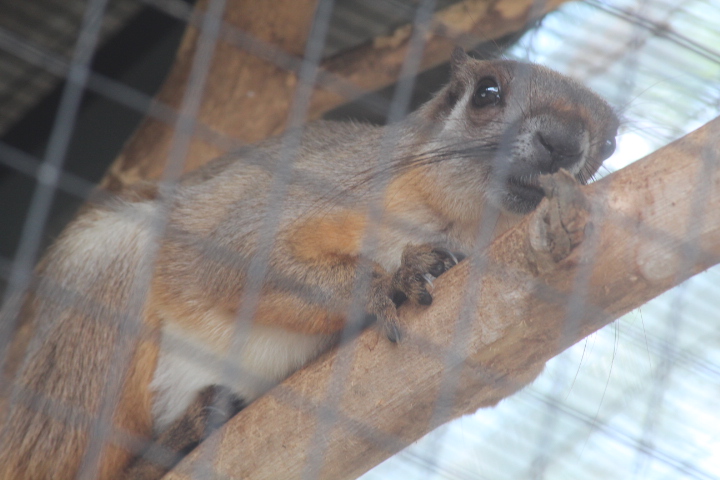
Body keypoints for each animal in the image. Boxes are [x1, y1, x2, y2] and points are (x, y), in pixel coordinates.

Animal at [0, 48, 619, 479]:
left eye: (610, 142)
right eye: (487, 93)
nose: (563, 143)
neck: (455, 221)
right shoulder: (315, 183)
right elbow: (237, 258)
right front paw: (391, 280)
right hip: (100, 293)